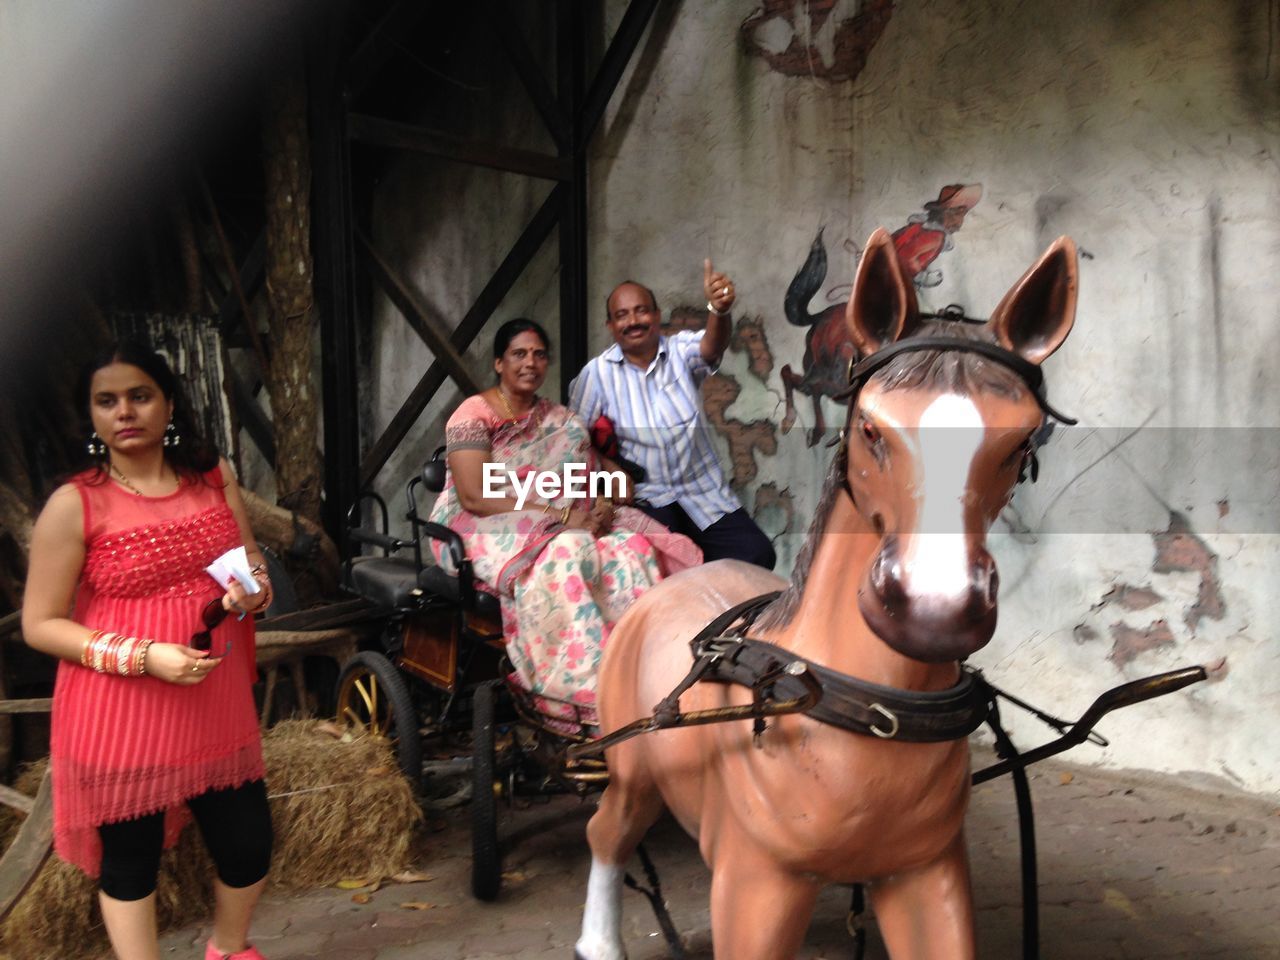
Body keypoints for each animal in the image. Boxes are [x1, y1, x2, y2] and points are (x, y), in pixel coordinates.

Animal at [576, 227, 1075, 960]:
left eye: (1021, 440)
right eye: (869, 428)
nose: (933, 612)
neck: (862, 707)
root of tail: (680, 577)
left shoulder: (926, 873)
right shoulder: (753, 885)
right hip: (633, 767)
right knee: (608, 831)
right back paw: (599, 941)